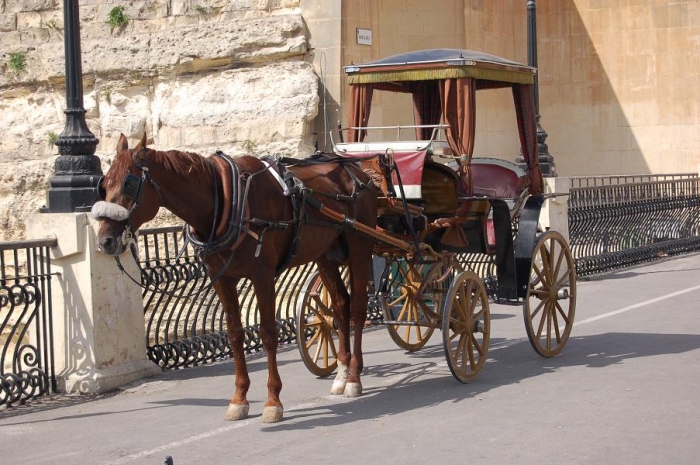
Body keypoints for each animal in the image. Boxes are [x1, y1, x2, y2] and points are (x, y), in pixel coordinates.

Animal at [93, 132, 380, 422]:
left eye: (129, 183)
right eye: (103, 184)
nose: (105, 241)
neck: (228, 202)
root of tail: (355, 171)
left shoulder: (262, 276)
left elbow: (268, 333)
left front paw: (273, 401)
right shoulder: (222, 279)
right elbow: (234, 334)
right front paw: (239, 398)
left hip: (359, 247)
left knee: (357, 309)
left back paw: (354, 377)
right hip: (325, 255)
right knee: (341, 306)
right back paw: (342, 374)